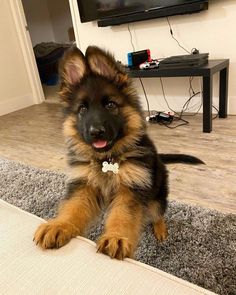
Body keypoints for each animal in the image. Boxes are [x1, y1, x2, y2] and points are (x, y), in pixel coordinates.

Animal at [34, 45, 204, 260]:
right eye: (82, 109)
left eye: (110, 105)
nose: (96, 132)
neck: (107, 159)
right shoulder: (83, 185)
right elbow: (72, 208)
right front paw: (59, 225)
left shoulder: (131, 189)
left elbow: (123, 215)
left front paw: (116, 237)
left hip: (156, 195)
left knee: (157, 213)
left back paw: (160, 229)